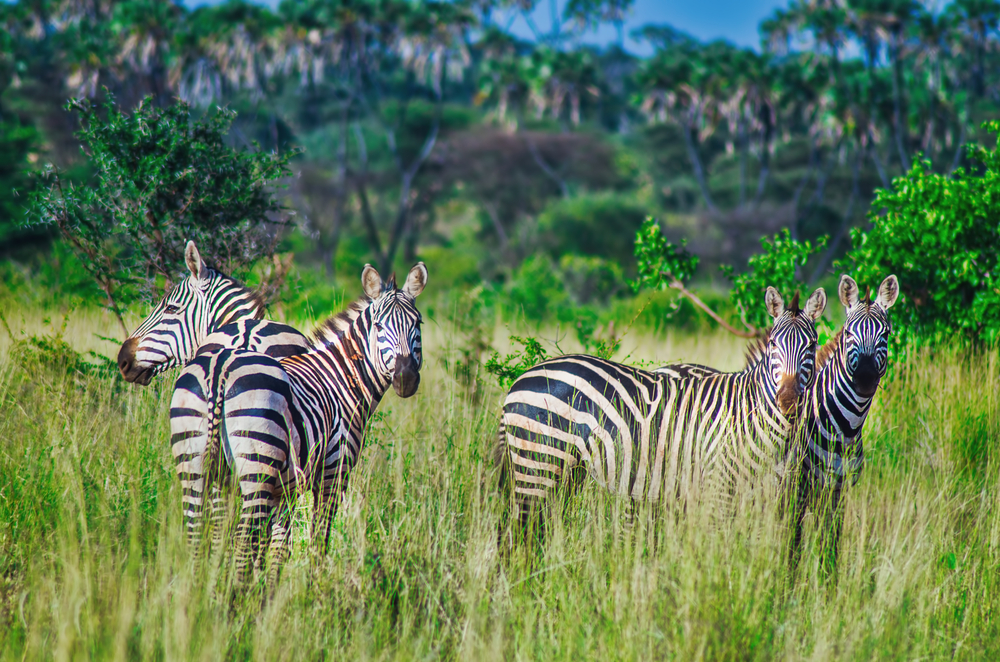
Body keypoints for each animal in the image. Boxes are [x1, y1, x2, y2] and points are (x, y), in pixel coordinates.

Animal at [175, 262, 426, 580]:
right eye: (379, 326)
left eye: (418, 324)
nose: (406, 378)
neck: (341, 377)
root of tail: (220, 367)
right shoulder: (333, 472)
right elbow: (318, 538)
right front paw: (314, 586)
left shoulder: (284, 488)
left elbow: (277, 546)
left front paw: (268, 588)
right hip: (256, 467)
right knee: (242, 542)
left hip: (193, 464)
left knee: (197, 536)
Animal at [496, 288, 824, 532]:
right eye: (773, 344)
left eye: (812, 346)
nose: (788, 401)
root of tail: (521, 377)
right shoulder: (719, 485)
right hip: (538, 464)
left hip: (566, 471)